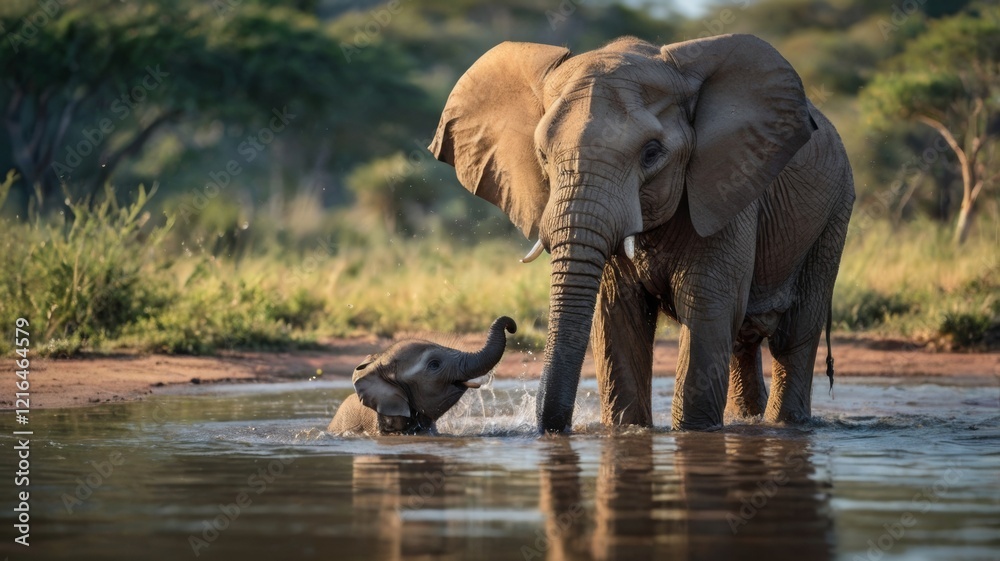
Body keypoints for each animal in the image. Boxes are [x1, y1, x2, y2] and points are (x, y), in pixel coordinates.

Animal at [429, 34, 855, 432]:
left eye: (651, 153)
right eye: (543, 156)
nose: (510, 322)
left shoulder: (728, 186)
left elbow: (707, 309)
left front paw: (695, 433)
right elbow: (618, 318)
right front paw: (627, 431)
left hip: (835, 212)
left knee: (793, 336)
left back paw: (787, 425)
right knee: (742, 342)